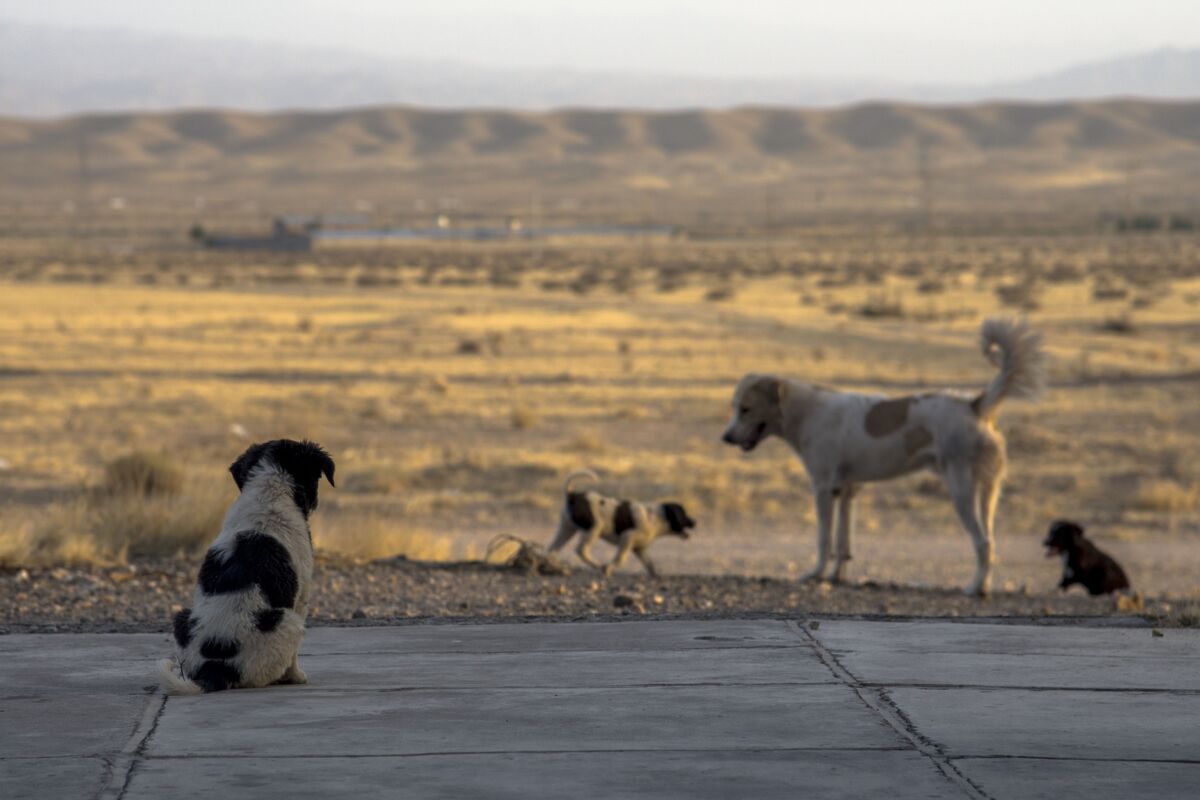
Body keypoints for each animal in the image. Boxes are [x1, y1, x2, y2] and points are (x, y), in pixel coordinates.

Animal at [159, 438, 336, 695]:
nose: (315, 503)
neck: (269, 493)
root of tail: (215, 668)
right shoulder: (301, 596)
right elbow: (294, 658)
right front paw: (296, 676)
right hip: (288, 622)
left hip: (182, 618)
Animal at [549, 470, 700, 575]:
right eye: (684, 514)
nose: (695, 522)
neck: (658, 517)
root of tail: (572, 495)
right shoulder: (627, 538)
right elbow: (620, 559)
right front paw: (608, 568)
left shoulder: (640, 549)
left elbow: (650, 564)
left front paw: (656, 575)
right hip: (594, 528)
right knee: (581, 550)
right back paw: (597, 564)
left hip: (566, 528)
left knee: (553, 548)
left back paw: (550, 563)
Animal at [720, 316, 1041, 594]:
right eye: (735, 407)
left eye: (745, 409)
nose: (726, 437)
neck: (807, 412)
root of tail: (975, 405)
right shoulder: (846, 491)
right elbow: (843, 543)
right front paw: (836, 577)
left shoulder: (823, 489)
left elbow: (824, 539)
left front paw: (816, 574)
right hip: (989, 492)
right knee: (991, 540)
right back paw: (983, 585)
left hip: (961, 489)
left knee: (982, 542)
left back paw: (975, 589)